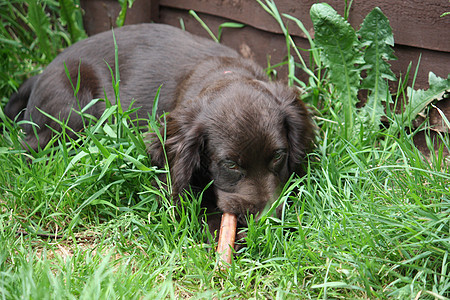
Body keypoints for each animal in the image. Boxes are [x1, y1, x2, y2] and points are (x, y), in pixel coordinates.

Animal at [4, 23, 312, 234]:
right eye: (231, 165)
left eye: (278, 156)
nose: (268, 220)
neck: (224, 74)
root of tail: (40, 74)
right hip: (76, 111)